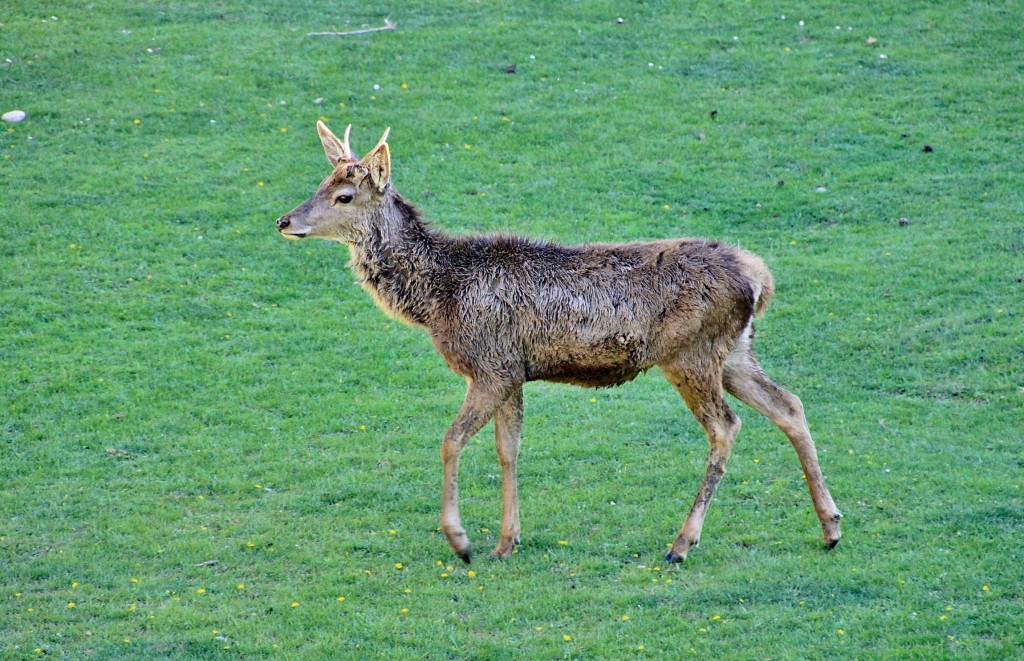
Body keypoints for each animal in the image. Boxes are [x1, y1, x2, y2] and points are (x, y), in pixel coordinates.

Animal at [272, 124, 839, 564]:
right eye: (321, 182)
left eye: (344, 196)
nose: (284, 220)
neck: (438, 296)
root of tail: (759, 277)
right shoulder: (512, 371)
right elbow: (508, 449)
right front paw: (507, 541)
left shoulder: (490, 365)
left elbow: (451, 441)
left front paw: (462, 541)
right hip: (735, 352)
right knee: (789, 404)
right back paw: (831, 525)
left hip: (690, 354)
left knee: (726, 426)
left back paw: (682, 543)